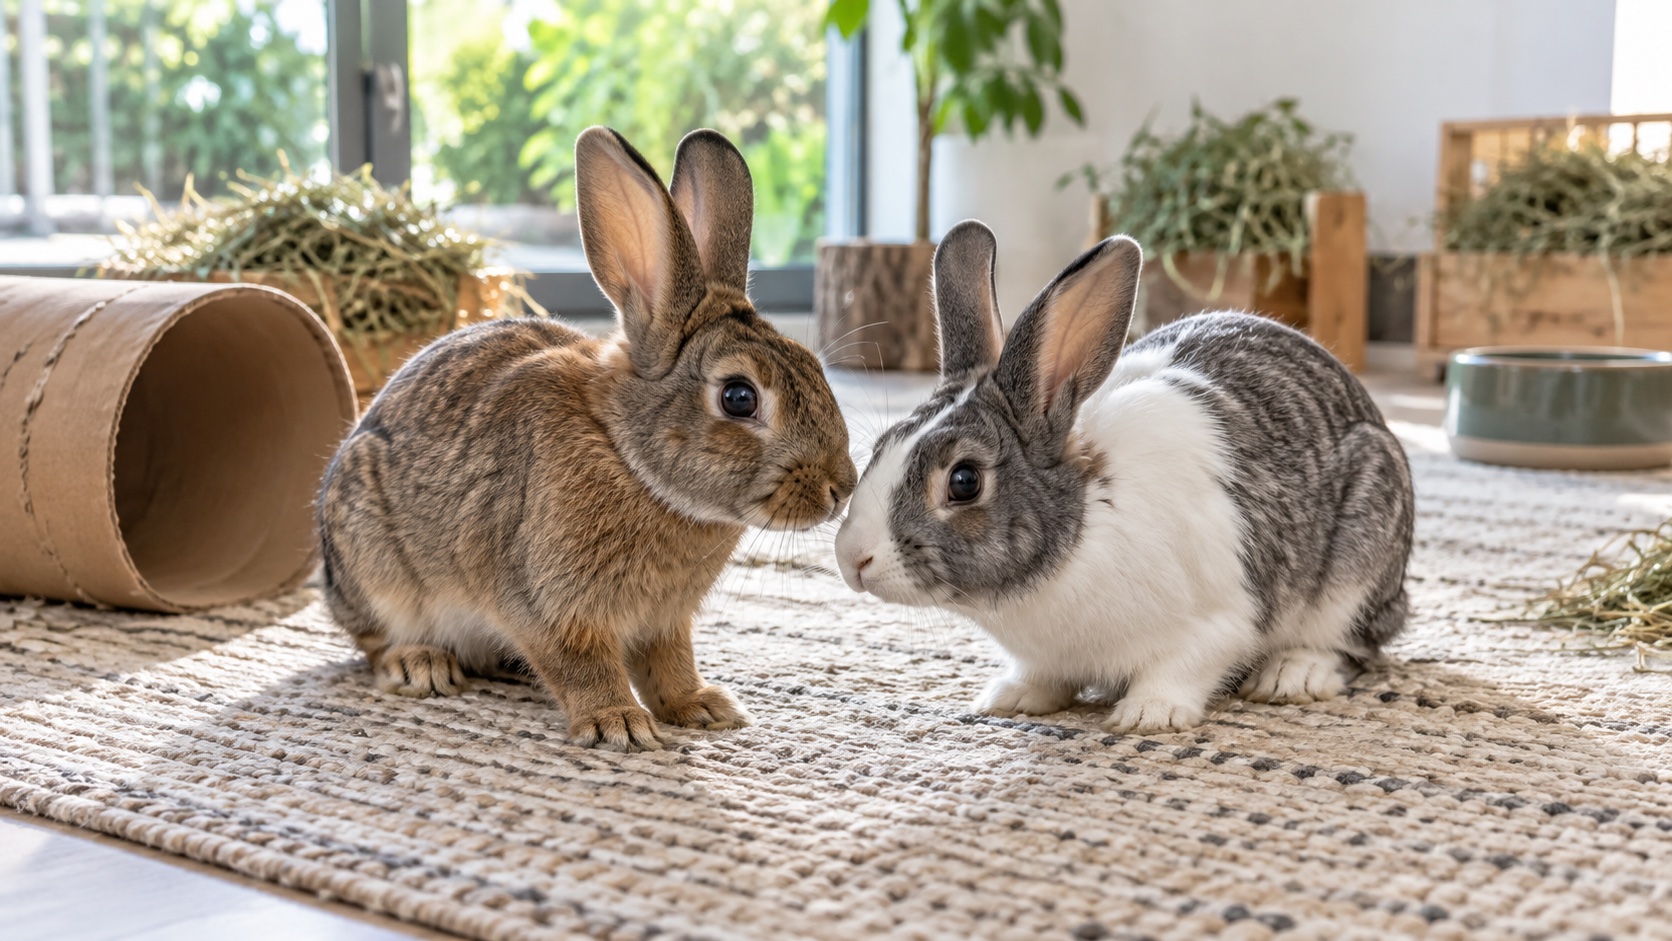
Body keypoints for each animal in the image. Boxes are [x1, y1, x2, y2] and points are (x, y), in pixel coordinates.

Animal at [317, 127, 858, 751]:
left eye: (813, 366)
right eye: (739, 397)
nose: (843, 487)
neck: (628, 456)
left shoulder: (664, 621)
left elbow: (671, 664)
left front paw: (701, 707)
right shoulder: (546, 603)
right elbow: (580, 663)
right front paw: (617, 723)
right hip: (373, 562)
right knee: (373, 643)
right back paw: (420, 665)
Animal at [833, 220, 1413, 733]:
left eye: (964, 481)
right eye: (882, 446)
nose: (852, 558)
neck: (1079, 525)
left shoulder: (1218, 621)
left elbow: (1184, 668)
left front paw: (1149, 715)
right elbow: (1041, 676)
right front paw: (1012, 698)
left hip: (1355, 567)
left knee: (1352, 646)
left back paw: (1292, 675)